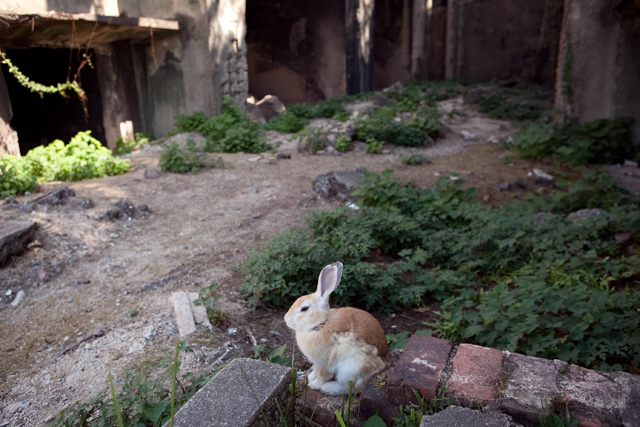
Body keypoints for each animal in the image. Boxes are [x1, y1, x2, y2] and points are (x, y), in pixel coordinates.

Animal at [286, 262, 388, 396]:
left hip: (350, 368)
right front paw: (309, 378)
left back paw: (328, 388)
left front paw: (313, 385)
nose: (286, 319)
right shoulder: (316, 363)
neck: (321, 323)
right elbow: (315, 371)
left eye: (304, 308)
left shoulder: (325, 363)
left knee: (352, 387)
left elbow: (322, 375)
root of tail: (382, 365)